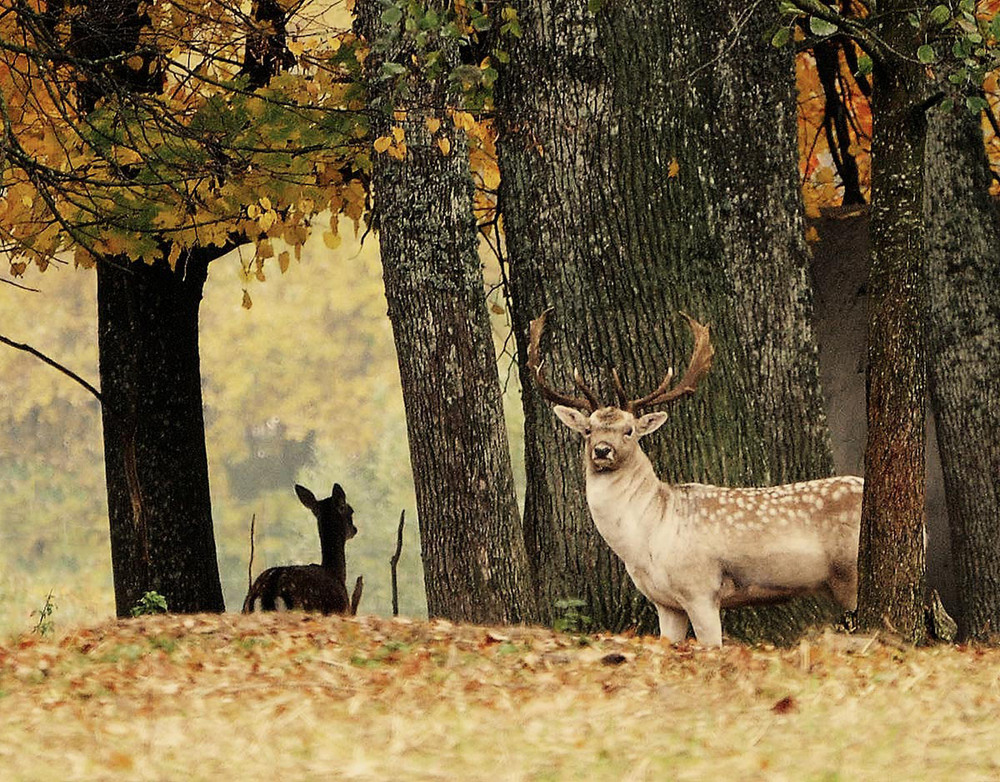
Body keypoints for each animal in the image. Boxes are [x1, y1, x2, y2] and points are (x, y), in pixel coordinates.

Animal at [242, 484, 364, 620]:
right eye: (350, 510)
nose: (354, 529)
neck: (336, 573)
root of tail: (267, 594)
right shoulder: (343, 610)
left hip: (245, 608)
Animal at [528, 312, 864, 648]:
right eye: (588, 430)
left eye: (629, 430)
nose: (601, 450)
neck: (647, 541)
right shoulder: (665, 603)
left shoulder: (700, 588)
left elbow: (711, 644)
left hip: (850, 574)